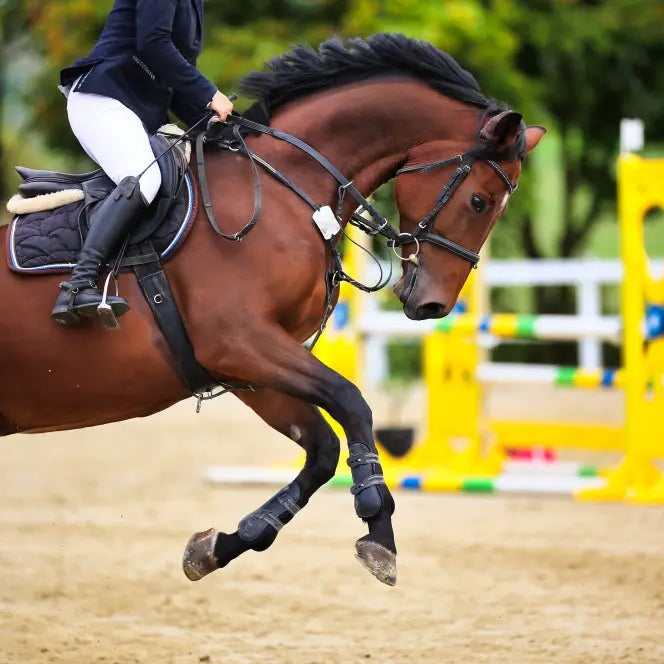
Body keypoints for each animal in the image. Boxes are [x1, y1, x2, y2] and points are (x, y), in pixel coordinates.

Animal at [0, 34, 545, 586]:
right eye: (479, 202)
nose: (434, 303)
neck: (286, 188)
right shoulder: (240, 341)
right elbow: (353, 402)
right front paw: (378, 525)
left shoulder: (247, 366)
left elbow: (322, 448)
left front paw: (218, 546)